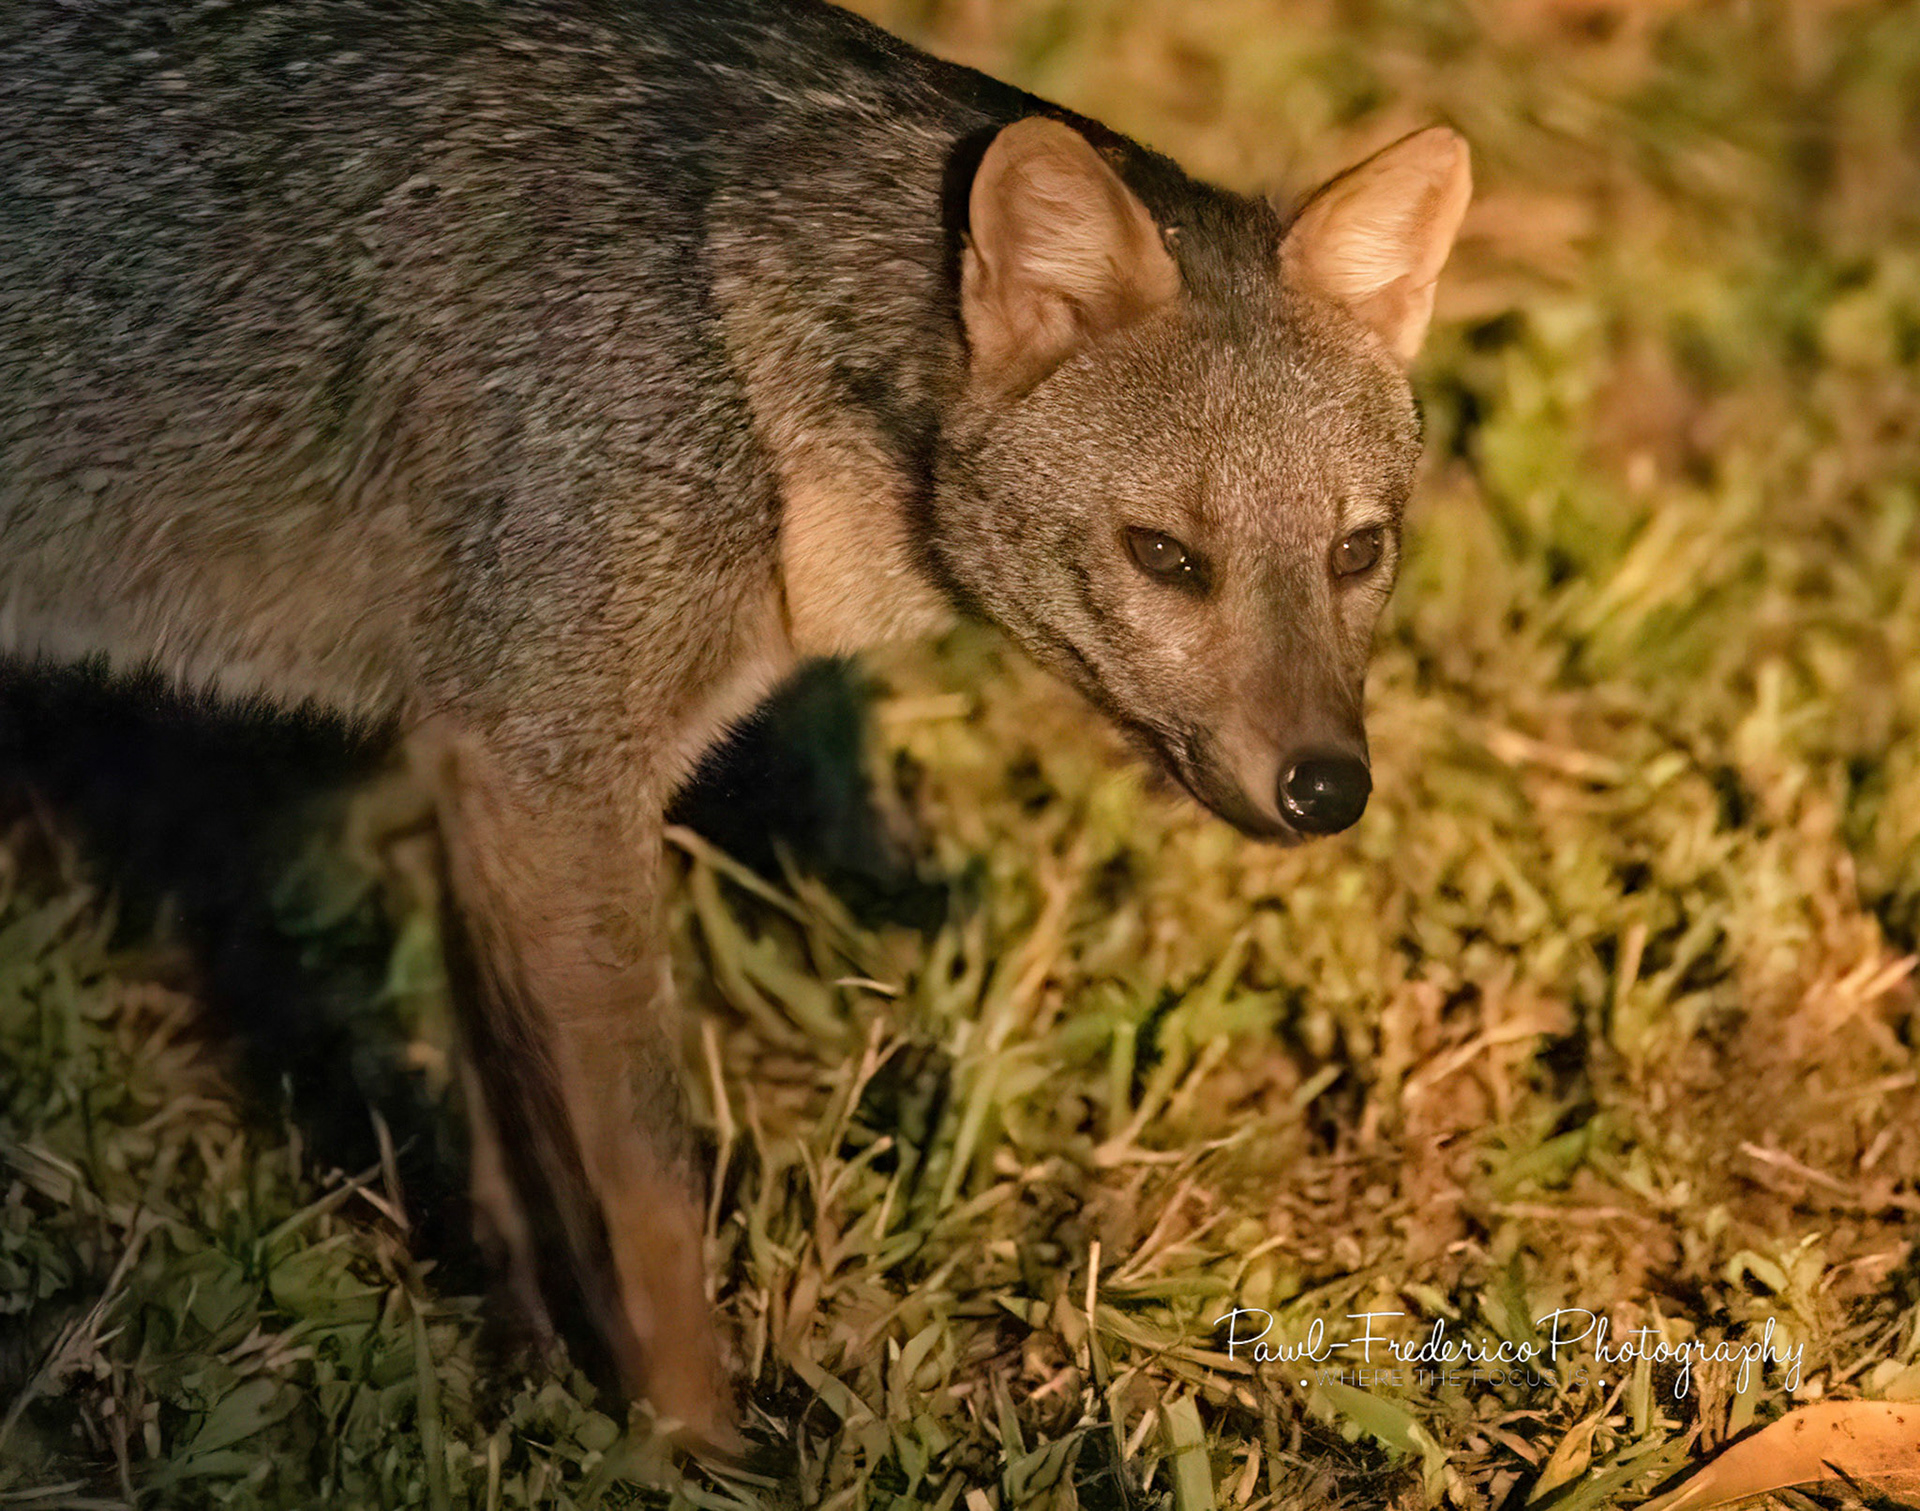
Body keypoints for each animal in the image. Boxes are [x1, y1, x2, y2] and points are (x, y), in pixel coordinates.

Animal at [0, 0, 1469, 1445]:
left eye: (1359, 553)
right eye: (1166, 557)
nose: (1327, 788)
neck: (727, 327)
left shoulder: (495, 766)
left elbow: (519, 1148)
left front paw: (540, 1378)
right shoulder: (552, 774)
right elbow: (648, 1188)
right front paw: (693, 1443)